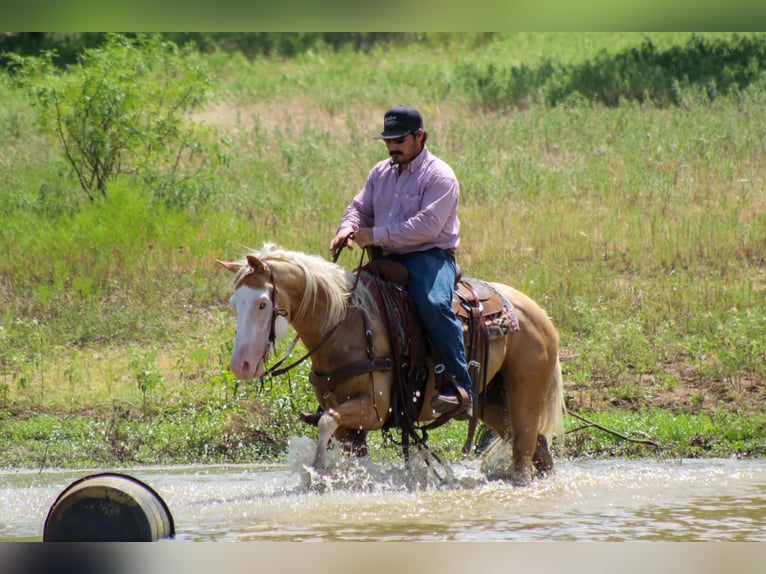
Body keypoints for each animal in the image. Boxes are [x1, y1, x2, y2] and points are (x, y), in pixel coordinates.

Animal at [218, 243, 564, 486]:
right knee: (538, 445)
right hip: (492, 402)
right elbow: (340, 437)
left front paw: (317, 471)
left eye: (262, 303)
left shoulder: (373, 408)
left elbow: (326, 422)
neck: (344, 324)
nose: (241, 365)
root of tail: (537, 312)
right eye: (235, 303)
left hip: (524, 394)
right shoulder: (349, 424)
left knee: (524, 452)